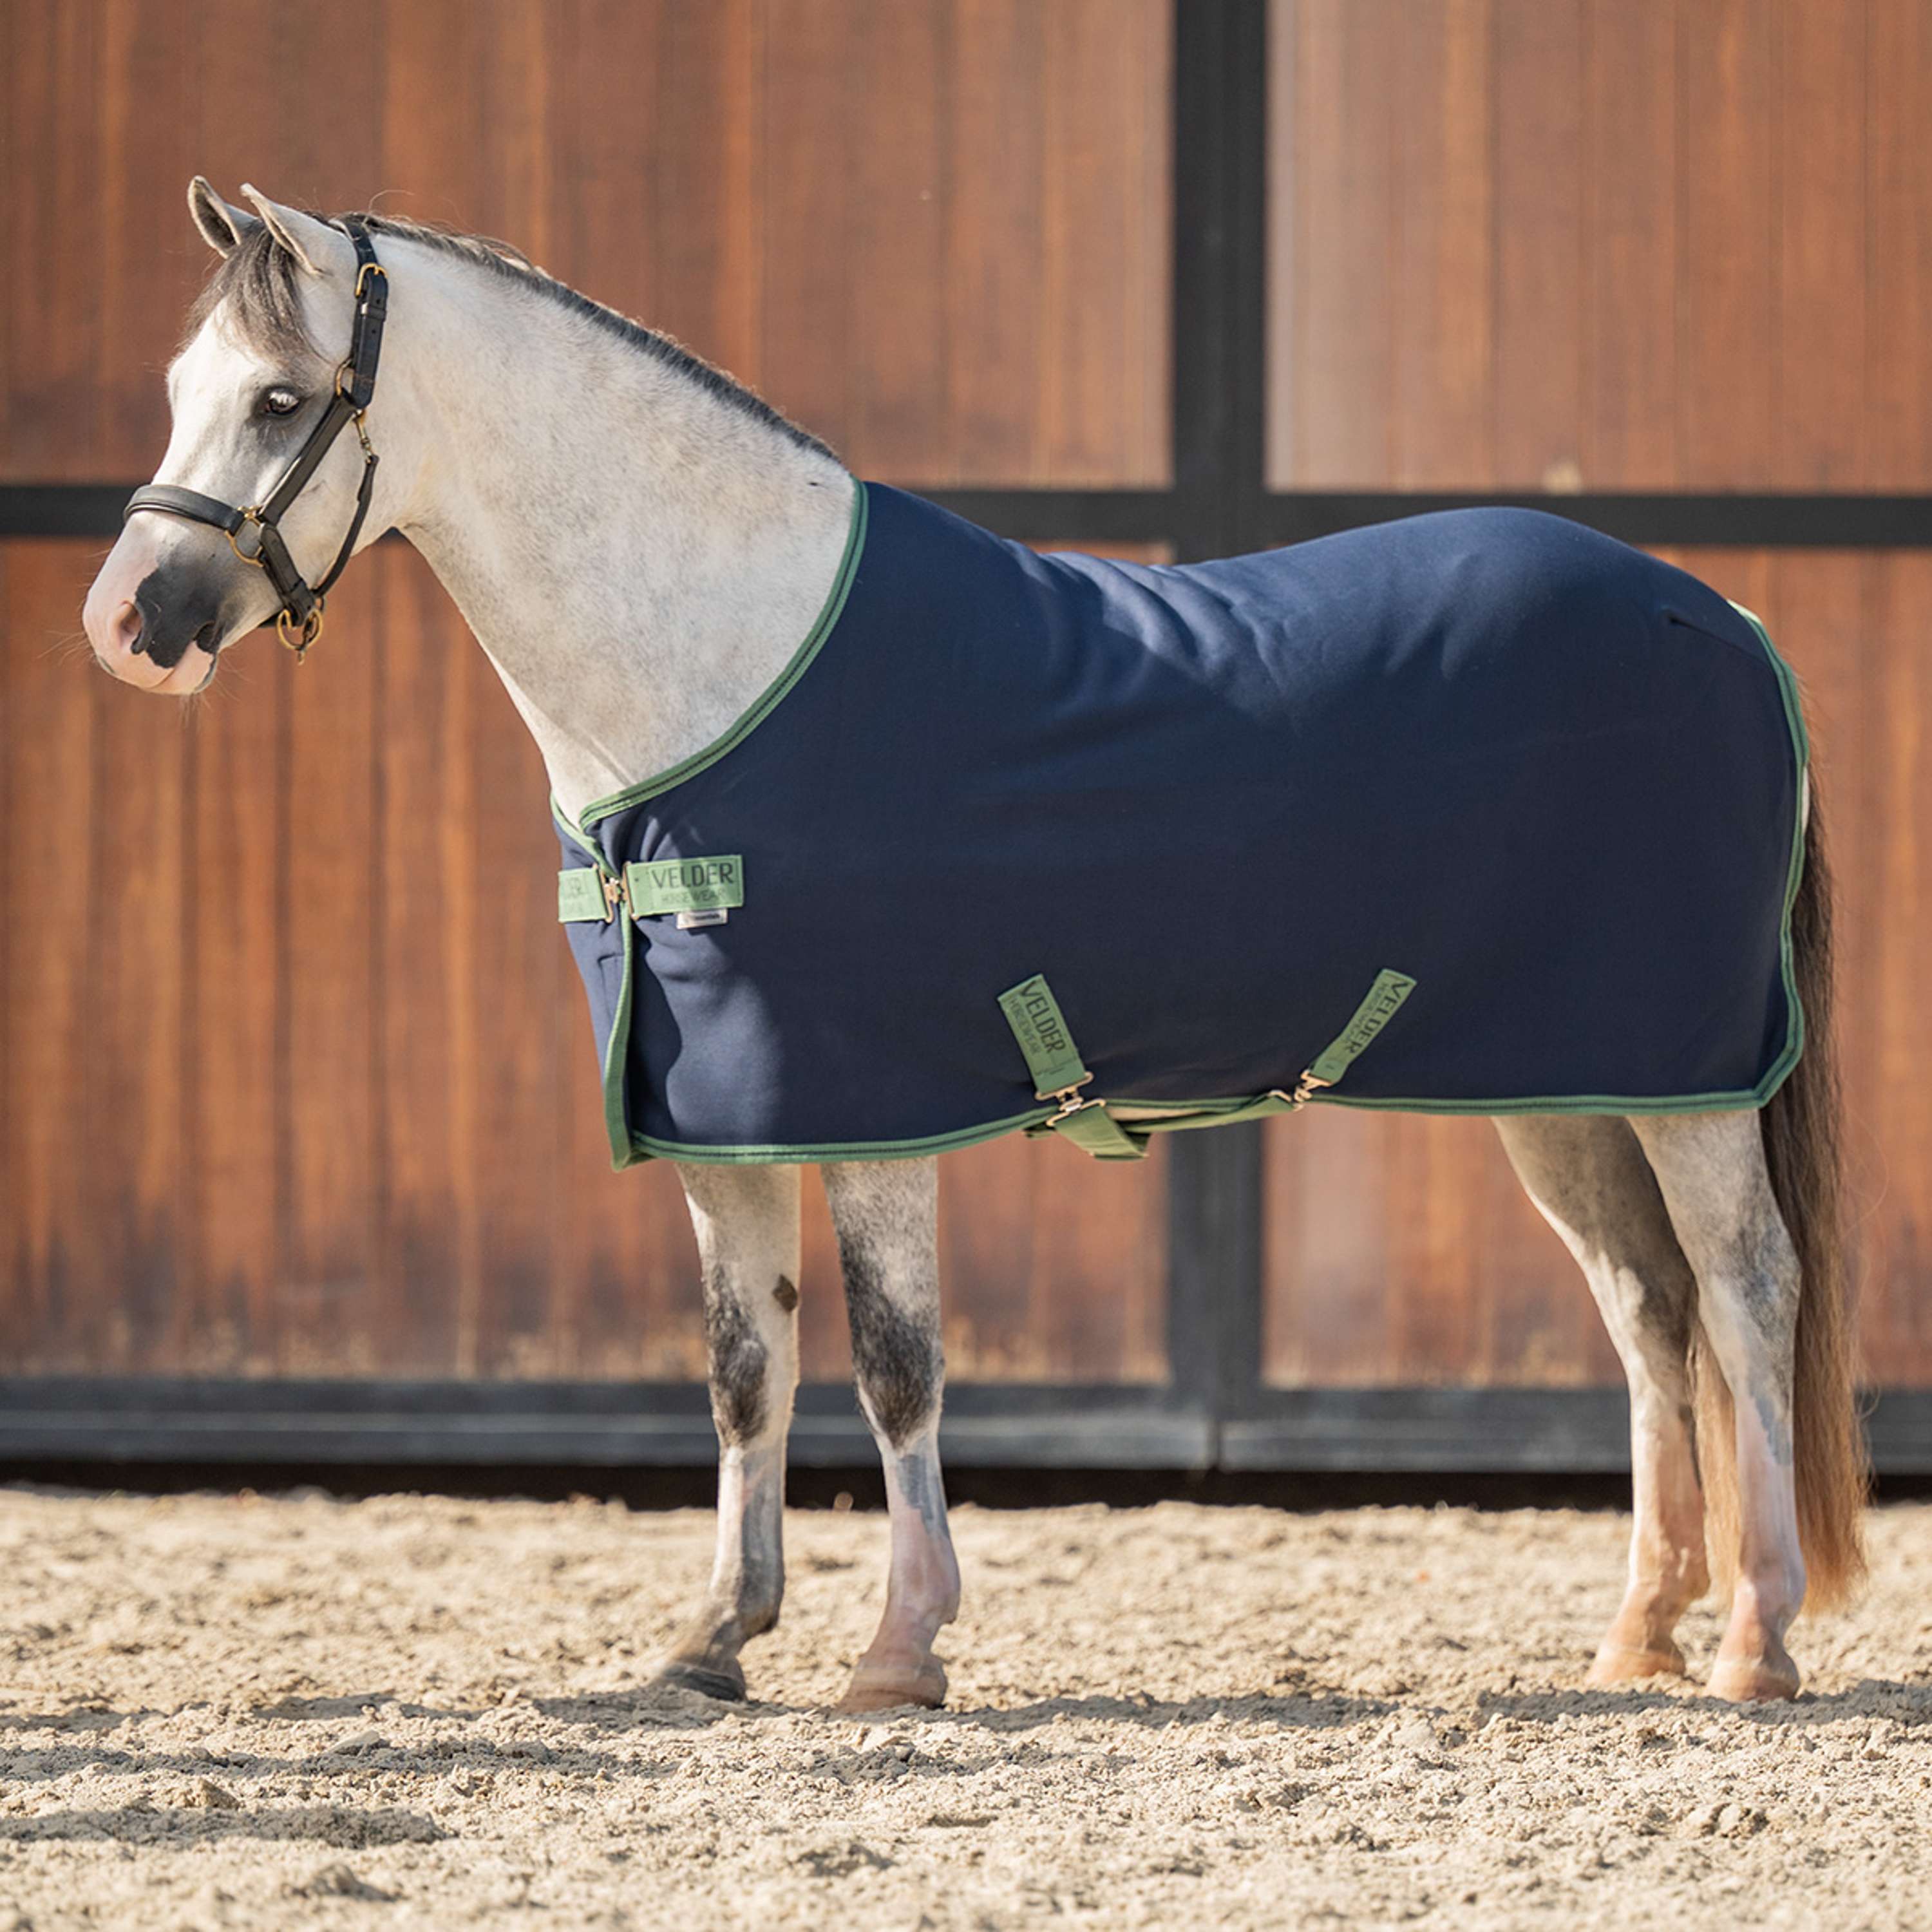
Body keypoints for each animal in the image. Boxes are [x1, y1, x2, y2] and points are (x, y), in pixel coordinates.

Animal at [81, 180, 1868, 1712]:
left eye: (279, 400)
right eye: (178, 383)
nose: (123, 629)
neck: (724, 666)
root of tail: (1722, 618)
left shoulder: (875, 1111)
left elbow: (895, 1365)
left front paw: (898, 1649)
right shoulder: (725, 1119)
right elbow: (745, 1368)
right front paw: (712, 1641)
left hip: (1691, 1087)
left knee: (1743, 1291)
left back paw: (1753, 1644)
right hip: (1568, 1086)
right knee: (1646, 1312)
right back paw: (1637, 1635)